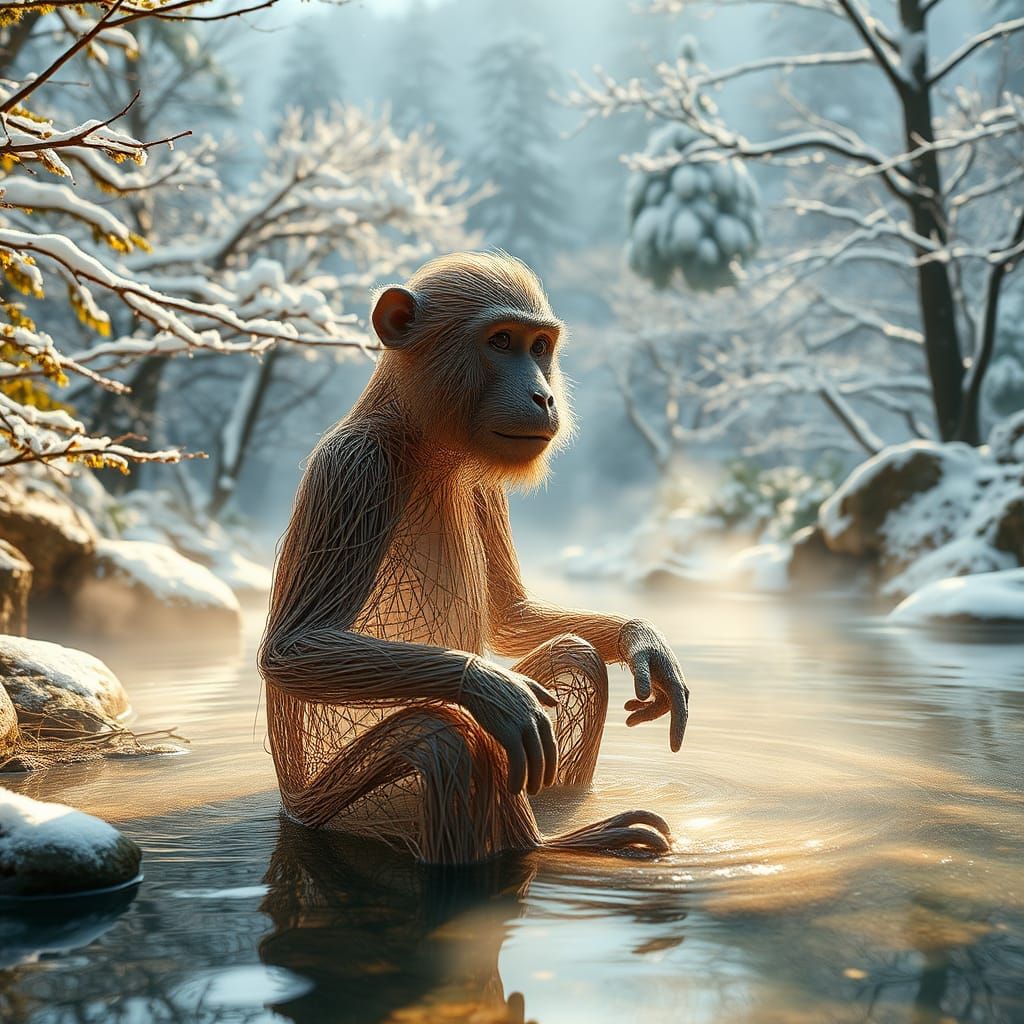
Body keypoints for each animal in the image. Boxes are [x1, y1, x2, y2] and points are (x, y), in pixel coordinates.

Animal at [258, 251, 689, 865]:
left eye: (539, 347)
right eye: (501, 341)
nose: (543, 396)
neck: (422, 444)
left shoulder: (484, 485)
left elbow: (510, 615)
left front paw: (642, 638)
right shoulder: (352, 473)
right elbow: (292, 648)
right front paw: (489, 687)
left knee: (577, 661)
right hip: (333, 805)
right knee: (447, 740)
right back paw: (552, 844)